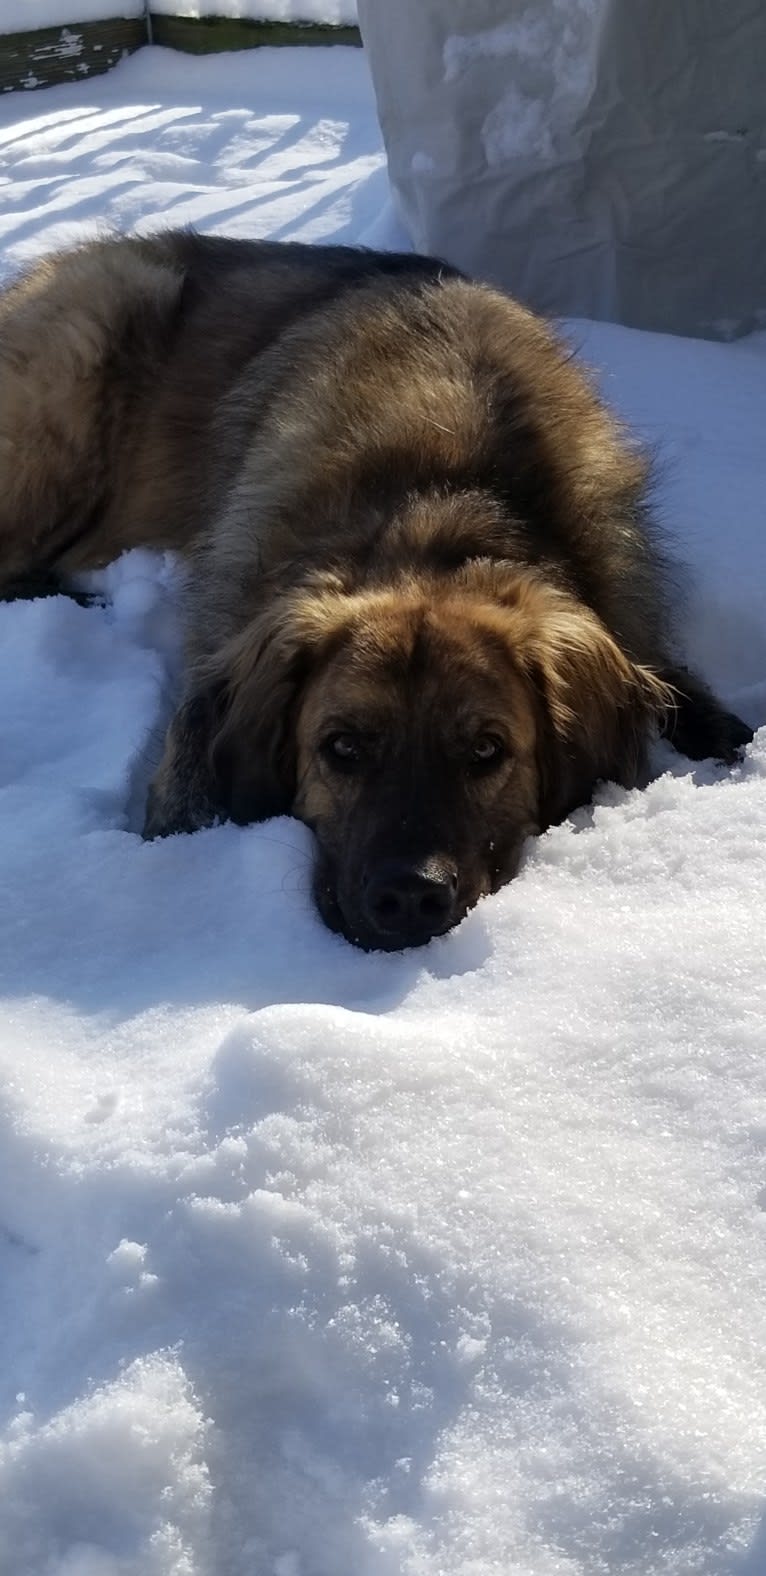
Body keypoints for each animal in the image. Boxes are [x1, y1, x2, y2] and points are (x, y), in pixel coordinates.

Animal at [0, 230, 753, 945]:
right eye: (342, 748)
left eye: (487, 750)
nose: (410, 897)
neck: (438, 506)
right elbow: (189, 755)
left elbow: (684, 690)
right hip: (93, 350)